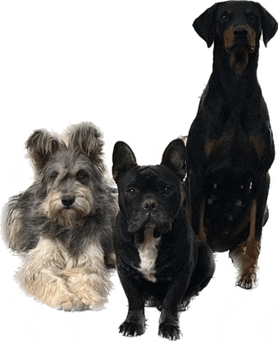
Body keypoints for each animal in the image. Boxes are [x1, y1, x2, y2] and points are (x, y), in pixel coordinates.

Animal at [3, 122, 118, 310]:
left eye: (81, 174)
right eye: (54, 175)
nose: (68, 200)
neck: (68, 222)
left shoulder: (88, 259)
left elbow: (86, 277)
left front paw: (85, 296)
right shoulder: (42, 262)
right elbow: (50, 279)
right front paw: (66, 298)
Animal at [111, 138, 215, 340]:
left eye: (166, 189)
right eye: (132, 190)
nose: (150, 203)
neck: (149, 236)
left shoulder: (182, 271)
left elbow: (171, 301)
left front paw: (169, 326)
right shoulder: (124, 269)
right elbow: (134, 299)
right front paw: (133, 323)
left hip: (207, 255)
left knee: (195, 288)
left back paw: (184, 300)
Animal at [186, 1, 276, 290]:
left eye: (252, 17)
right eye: (224, 16)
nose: (240, 33)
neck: (236, 90)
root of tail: (220, 243)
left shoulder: (262, 174)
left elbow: (255, 237)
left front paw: (248, 274)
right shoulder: (198, 173)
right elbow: (197, 229)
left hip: (263, 208)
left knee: (246, 237)